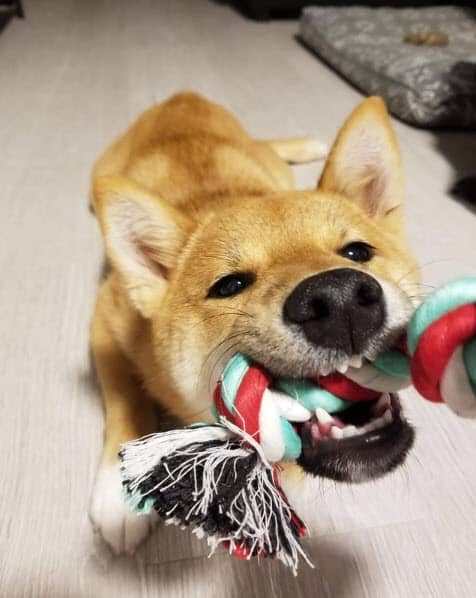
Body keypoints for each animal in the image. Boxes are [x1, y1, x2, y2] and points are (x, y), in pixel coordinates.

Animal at [88, 91, 416, 556]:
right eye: (230, 285)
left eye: (357, 252)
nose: (339, 300)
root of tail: (181, 98)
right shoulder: (105, 316)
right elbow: (126, 401)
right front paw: (119, 498)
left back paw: (304, 145)